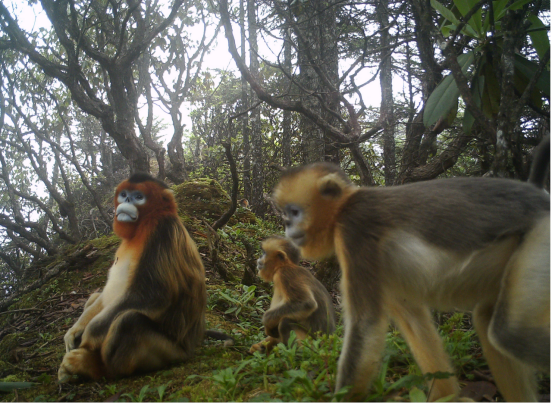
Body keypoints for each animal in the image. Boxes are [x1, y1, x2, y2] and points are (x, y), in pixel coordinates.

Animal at [59, 174, 231, 382]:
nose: (126, 201)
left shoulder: (162, 232)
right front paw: (74, 331)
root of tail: (193, 343)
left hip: (171, 352)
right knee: (98, 299)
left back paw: (93, 367)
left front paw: (87, 337)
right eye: (124, 194)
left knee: (129, 321)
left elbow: (151, 296)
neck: (143, 225)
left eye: (138, 197)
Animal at [274, 144, 548, 400]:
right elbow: (412, 319)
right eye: (286, 214)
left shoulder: (354, 229)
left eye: (294, 212)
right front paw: (445, 398)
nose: (286, 225)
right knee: (487, 318)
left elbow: (367, 324)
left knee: (509, 333)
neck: (344, 208)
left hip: (541, 236)